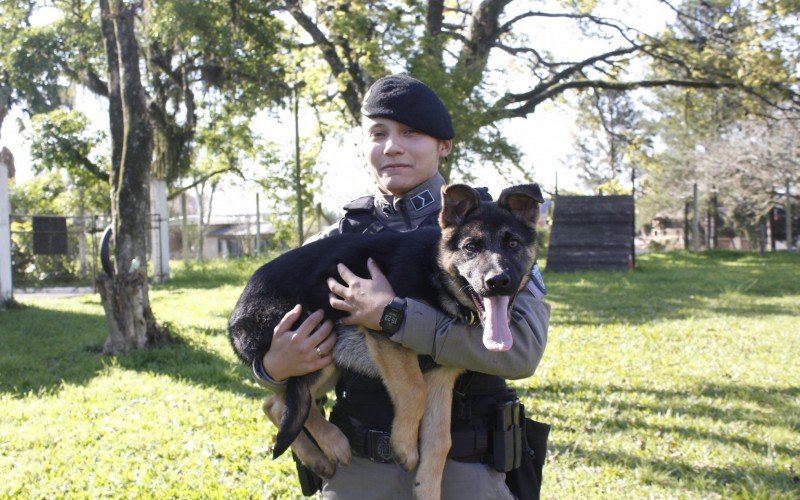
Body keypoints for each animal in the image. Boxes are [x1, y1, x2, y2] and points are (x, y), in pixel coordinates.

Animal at [230, 184, 544, 500]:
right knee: (293, 401)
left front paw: (427, 487)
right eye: (471, 247)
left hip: (330, 360)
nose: (498, 282)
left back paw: (318, 457)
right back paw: (333, 443)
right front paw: (403, 446)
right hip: (316, 340)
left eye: (513, 243)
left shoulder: (442, 374)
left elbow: (440, 440)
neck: (436, 273)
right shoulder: (386, 337)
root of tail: (236, 314)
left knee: (277, 403)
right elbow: (414, 391)